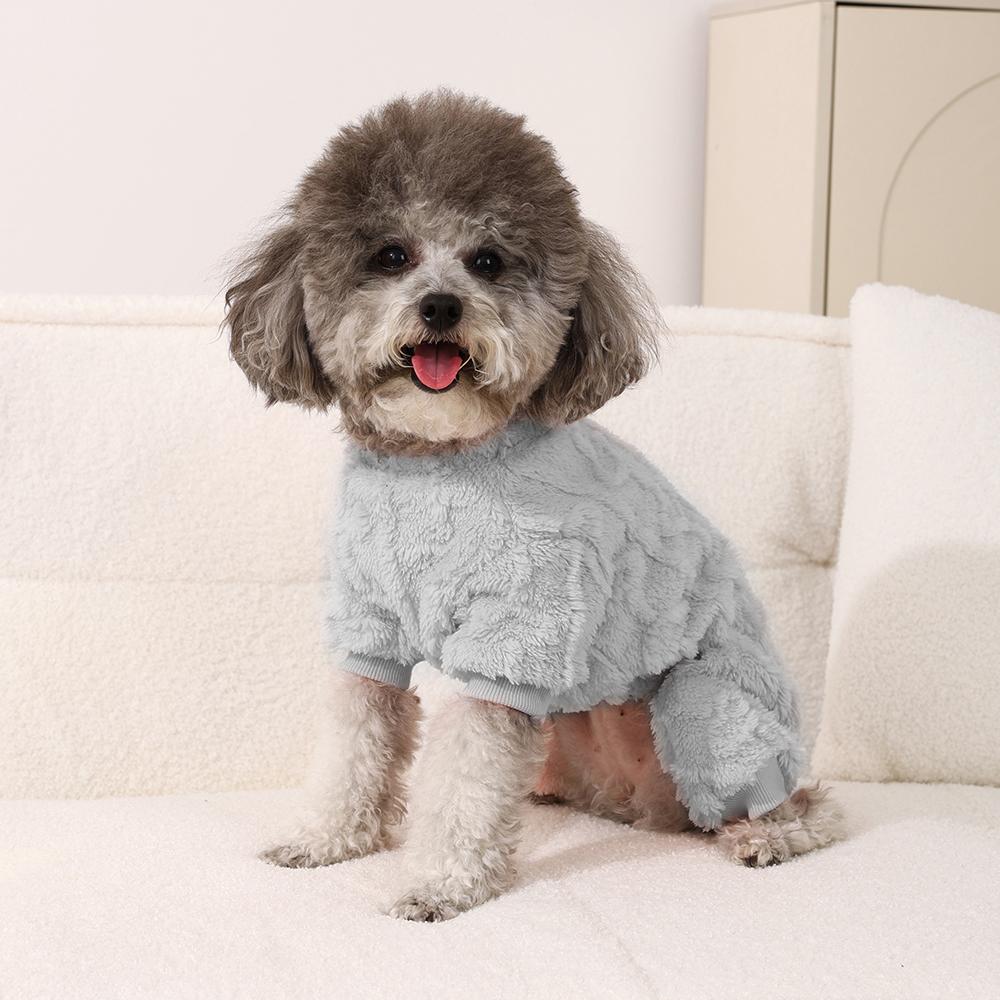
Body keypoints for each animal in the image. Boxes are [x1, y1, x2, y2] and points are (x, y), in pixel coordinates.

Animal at [225, 91, 843, 922]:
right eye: (390, 255)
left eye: (487, 261)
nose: (442, 306)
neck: (435, 466)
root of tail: (649, 806)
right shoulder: (368, 629)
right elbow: (350, 746)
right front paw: (324, 839)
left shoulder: (517, 636)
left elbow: (466, 777)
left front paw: (441, 884)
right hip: (569, 735)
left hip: (706, 704)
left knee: (802, 801)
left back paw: (765, 834)